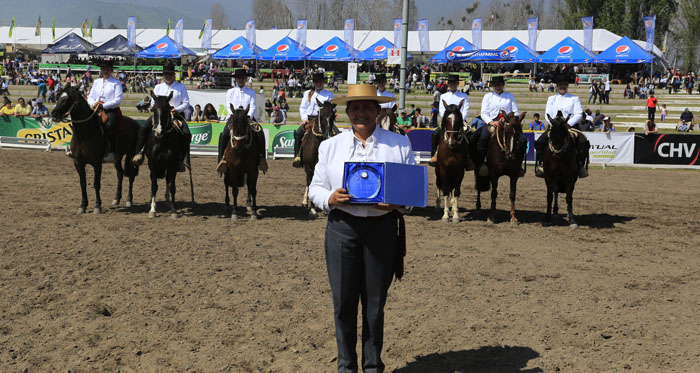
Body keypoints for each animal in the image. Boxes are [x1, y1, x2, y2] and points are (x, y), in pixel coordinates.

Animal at [49, 83, 141, 214]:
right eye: (58, 96)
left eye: (66, 99)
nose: (54, 114)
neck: (86, 134)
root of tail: (137, 124)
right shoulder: (78, 163)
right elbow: (82, 183)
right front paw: (83, 206)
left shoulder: (97, 163)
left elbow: (96, 183)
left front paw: (97, 206)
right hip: (117, 158)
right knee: (120, 173)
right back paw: (116, 199)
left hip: (131, 155)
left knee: (131, 176)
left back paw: (129, 200)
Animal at [146, 90, 187, 218]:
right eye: (153, 109)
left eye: (168, 109)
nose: (158, 131)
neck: (162, 140)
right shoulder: (153, 164)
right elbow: (154, 186)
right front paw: (152, 209)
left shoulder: (173, 165)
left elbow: (172, 186)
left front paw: (174, 210)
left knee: (168, 181)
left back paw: (168, 200)